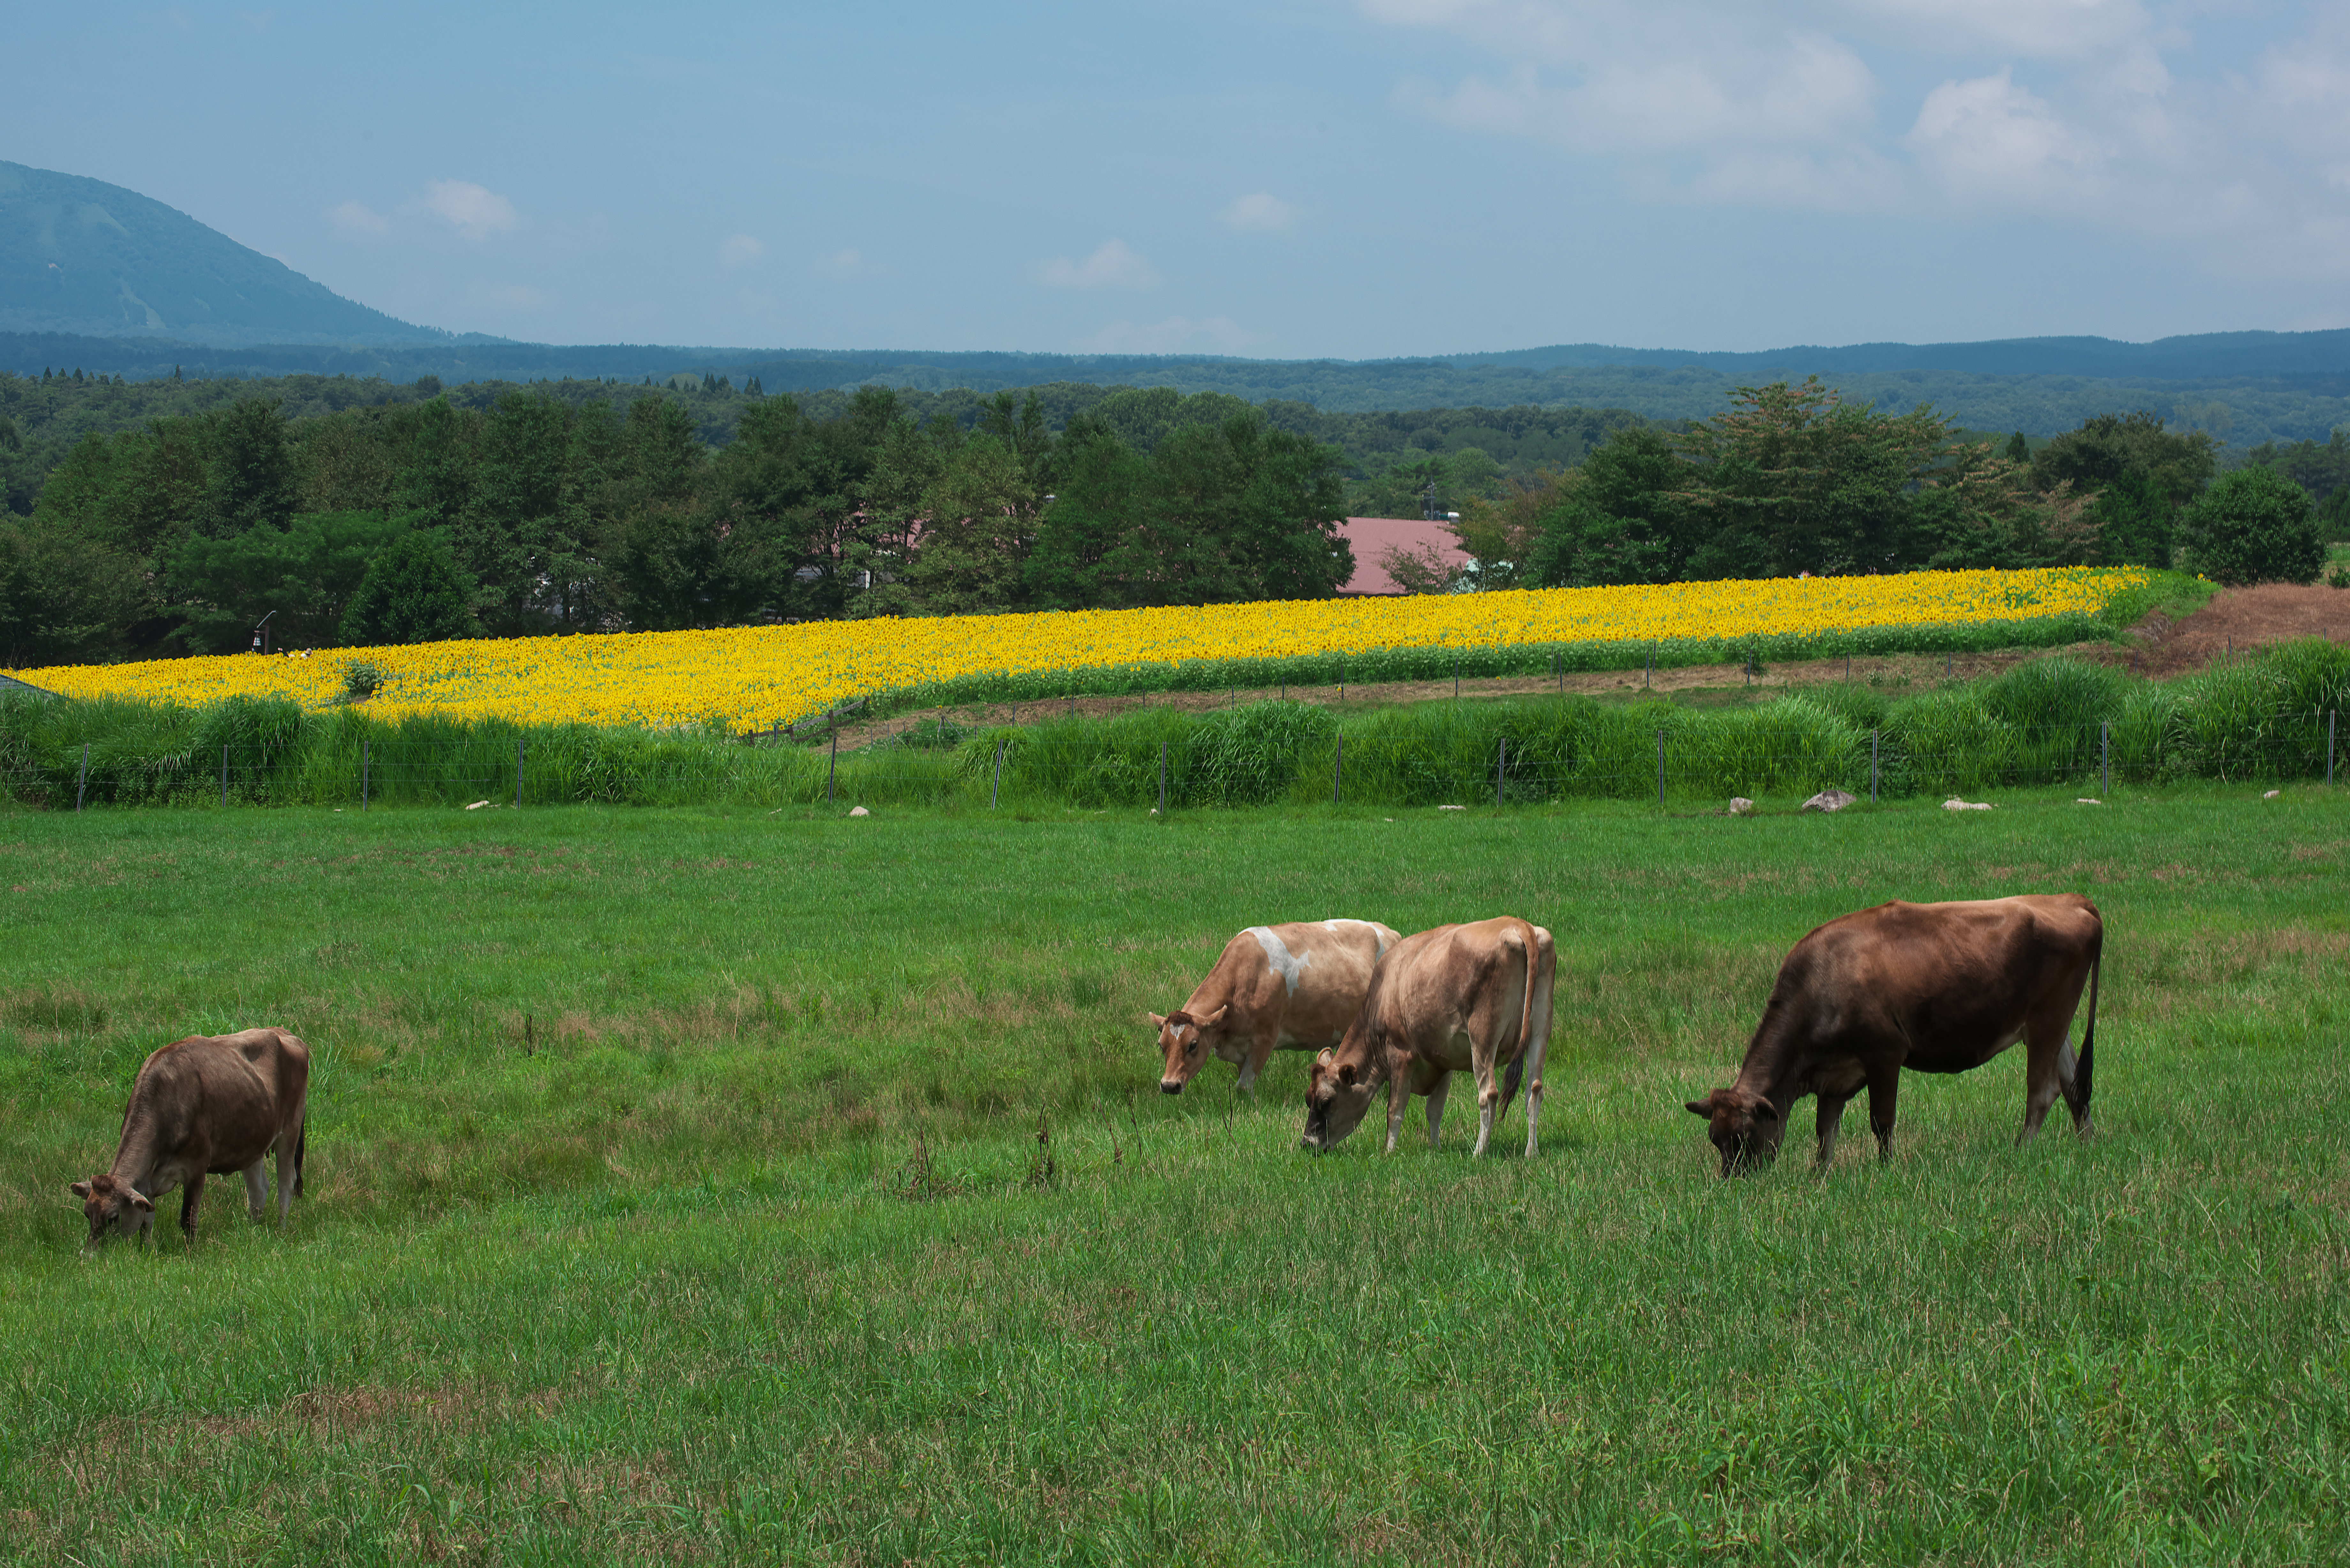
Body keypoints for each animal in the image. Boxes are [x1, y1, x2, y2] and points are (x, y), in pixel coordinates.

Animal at [73, 1029, 310, 1250]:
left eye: (113, 1218)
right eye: (87, 1214)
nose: (89, 1254)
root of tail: (284, 1033)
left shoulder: (197, 1168)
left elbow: (188, 1219)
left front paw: (191, 1252)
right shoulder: (148, 1183)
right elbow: (146, 1222)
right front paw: (145, 1251)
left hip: (290, 1131)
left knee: (286, 1183)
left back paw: (281, 1228)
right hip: (252, 1142)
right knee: (258, 1191)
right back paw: (252, 1229)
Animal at [1151, 912, 1391, 1100]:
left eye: (1193, 1045)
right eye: (1162, 1046)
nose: (1169, 1086)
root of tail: (1387, 931)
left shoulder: (1264, 1039)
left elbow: (1243, 1087)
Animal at [1297, 912, 1551, 1161]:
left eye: (1326, 1102)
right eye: (1308, 1099)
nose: (1307, 1144)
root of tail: (1518, 925)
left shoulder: (1400, 1052)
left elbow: (1395, 1109)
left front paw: (1388, 1151)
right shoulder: (1444, 1060)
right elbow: (1435, 1109)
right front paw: (1435, 1148)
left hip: (1483, 1035)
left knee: (1488, 1094)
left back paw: (1479, 1152)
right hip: (1540, 1030)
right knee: (1534, 1089)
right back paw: (1532, 1152)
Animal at [1682, 893, 2105, 1175]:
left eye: (1744, 1135)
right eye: (1715, 1138)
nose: (1734, 1181)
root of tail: (2073, 900)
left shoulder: (1884, 1055)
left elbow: (1881, 1121)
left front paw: (1886, 1170)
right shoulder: (1835, 1075)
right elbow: (1825, 1130)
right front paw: (1820, 1175)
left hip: (2048, 1019)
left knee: (2043, 1093)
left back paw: (2020, 1153)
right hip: (2055, 1025)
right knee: (2073, 1089)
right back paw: (2086, 1152)